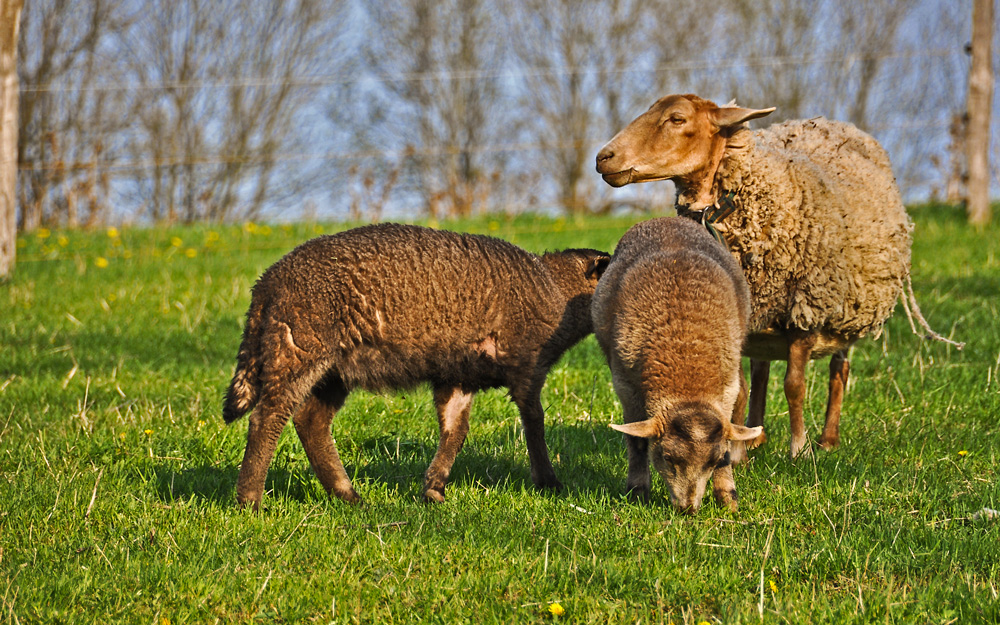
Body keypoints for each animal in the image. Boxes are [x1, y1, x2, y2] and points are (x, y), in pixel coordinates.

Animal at [223, 222, 608, 510]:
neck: (556, 289)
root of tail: (265, 285)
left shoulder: (458, 375)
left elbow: (455, 431)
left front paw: (433, 489)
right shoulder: (528, 365)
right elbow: (535, 424)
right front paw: (548, 482)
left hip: (334, 368)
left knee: (311, 421)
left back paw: (347, 495)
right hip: (299, 347)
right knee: (268, 418)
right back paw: (251, 501)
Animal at [588, 217, 760, 516]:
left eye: (713, 461)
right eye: (667, 457)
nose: (688, 509)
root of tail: (666, 220)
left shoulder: (726, 385)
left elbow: (728, 434)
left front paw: (728, 496)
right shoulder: (625, 384)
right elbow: (637, 442)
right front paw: (637, 492)